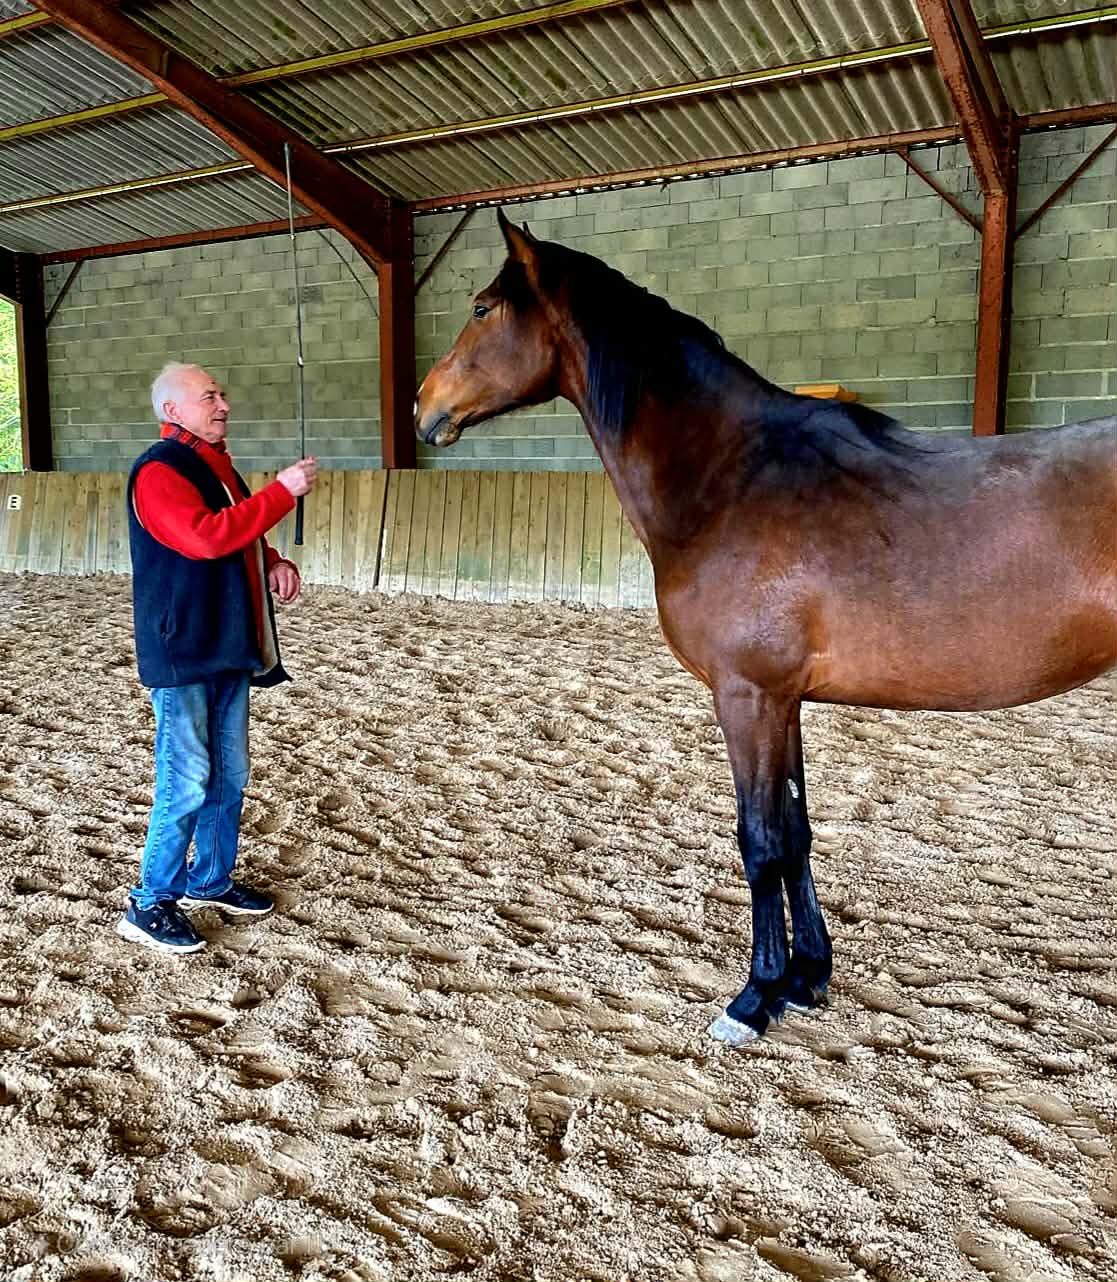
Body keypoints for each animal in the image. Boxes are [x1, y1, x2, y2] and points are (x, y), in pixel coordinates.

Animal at [415, 209, 1117, 1047]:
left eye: (483, 307)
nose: (422, 406)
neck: (732, 477)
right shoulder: (784, 701)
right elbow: (797, 832)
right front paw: (807, 977)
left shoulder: (745, 696)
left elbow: (760, 841)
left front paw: (753, 998)